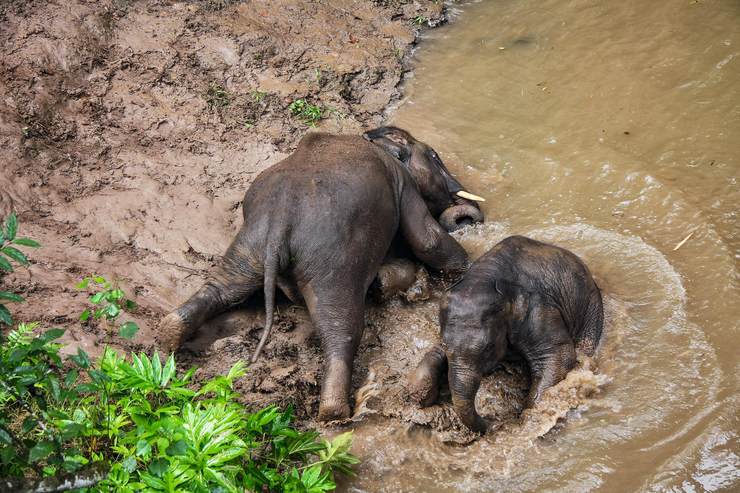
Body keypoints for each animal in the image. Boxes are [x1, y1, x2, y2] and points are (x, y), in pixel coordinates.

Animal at [158, 126, 486, 418]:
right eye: (434, 156)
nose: (467, 217)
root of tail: (280, 223)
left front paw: (385, 283)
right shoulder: (401, 181)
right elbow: (427, 240)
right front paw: (466, 268)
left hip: (250, 242)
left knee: (223, 286)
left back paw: (169, 334)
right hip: (333, 261)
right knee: (342, 328)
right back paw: (334, 412)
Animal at [408, 234, 604, 430]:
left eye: (487, 348)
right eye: (445, 344)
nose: (493, 422)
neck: (486, 277)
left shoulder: (538, 310)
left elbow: (558, 355)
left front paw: (529, 418)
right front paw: (422, 396)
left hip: (590, 308)